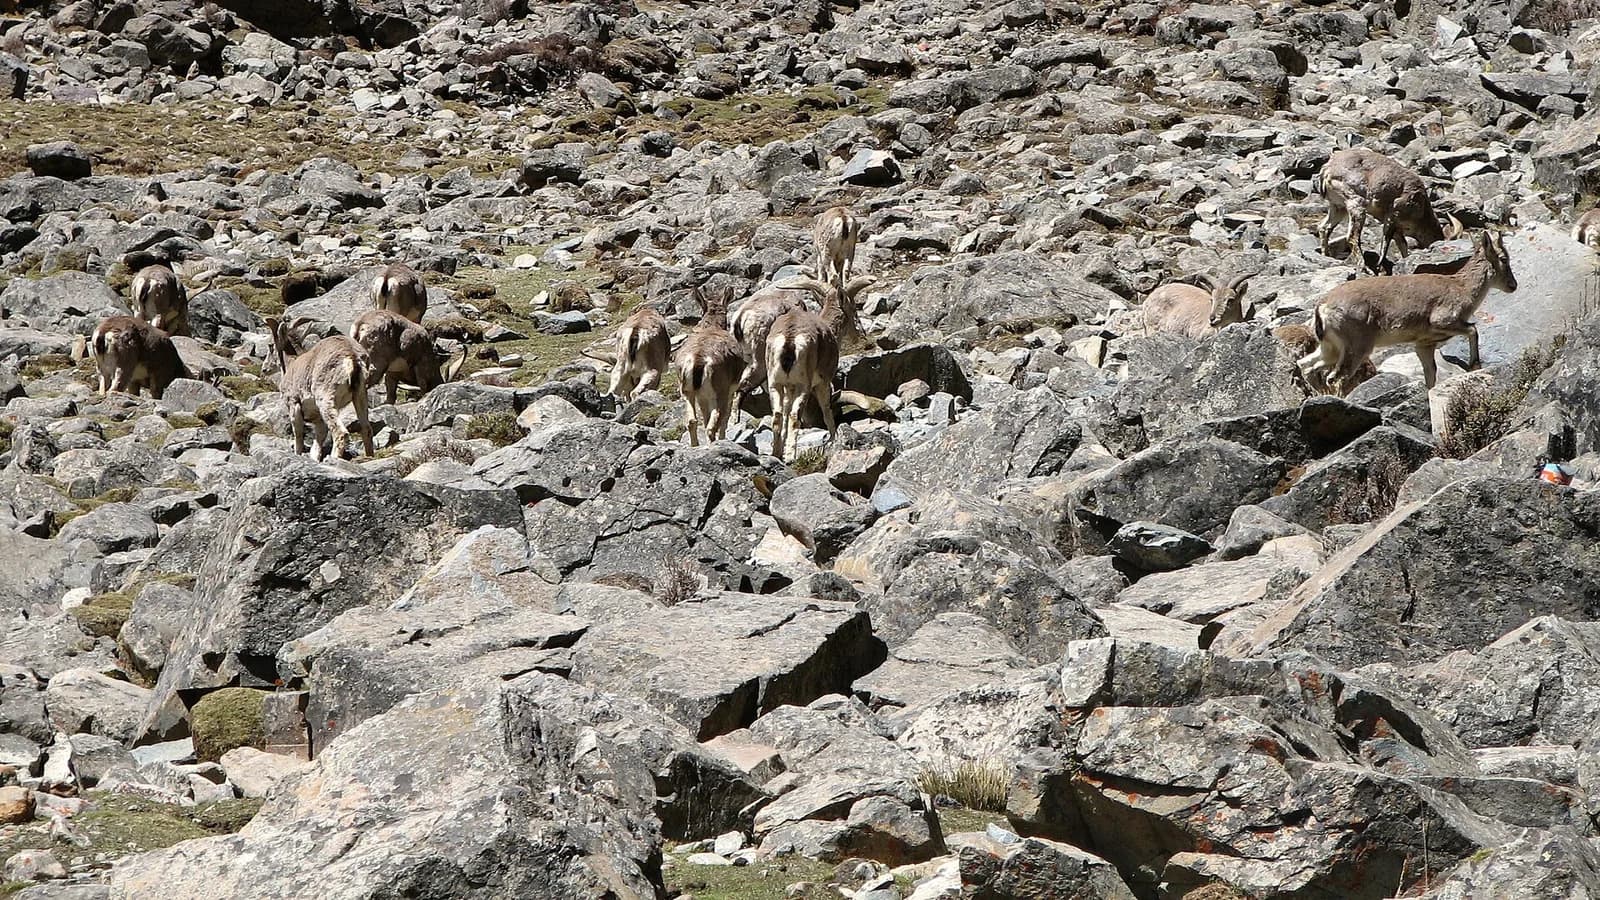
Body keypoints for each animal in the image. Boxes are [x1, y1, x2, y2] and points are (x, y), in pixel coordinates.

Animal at [266, 317, 375, 460]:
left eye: (271, 346)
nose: (264, 369)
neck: (291, 364)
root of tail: (353, 357)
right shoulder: (318, 417)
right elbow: (318, 440)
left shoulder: (294, 404)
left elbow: (298, 436)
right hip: (360, 395)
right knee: (366, 429)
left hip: (325, 398)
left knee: (340, 433)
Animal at [672, 287, 746, 446]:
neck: (712, 326)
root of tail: (698, 360)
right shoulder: (730, 389)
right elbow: (726, 416)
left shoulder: (702, 396)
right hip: (718, 392)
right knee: (714, 424)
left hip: (688, 391)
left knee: (692, 421)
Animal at [764, 275, 874, 461]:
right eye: (853, 308)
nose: (860, 336)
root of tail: (789, 339)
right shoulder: (823, 382)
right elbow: (826, 410)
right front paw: (833, 438)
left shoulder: (788, 387)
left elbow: (785, 411)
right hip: (803, 386)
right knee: (795, 416)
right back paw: (790, 456)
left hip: (775, 383)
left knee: (778, 416)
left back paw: (776, 454)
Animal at [1301, 229, 1517, 394]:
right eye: (1503, 258)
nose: (1513, 285)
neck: (1462, 288)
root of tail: (1322, 307)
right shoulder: (1443, 320)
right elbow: (1473, 329)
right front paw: (1474, 364)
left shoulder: (1424, 344)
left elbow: (1431, 374)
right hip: (1356, 347)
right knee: (1336, 377)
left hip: (1331, 348)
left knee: (1307, 365)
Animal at [1316, 147, 1447, 273]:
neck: (1421, 208)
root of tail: (1327, 169)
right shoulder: (1392, 215)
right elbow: (1386, 243)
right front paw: (1379, 265)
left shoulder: (1397, 228)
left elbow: (1402, 244)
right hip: (1356, 204)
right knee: (1352, 237)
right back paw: (1365, 268)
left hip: (1338, 206)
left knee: (1324, 227)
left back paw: (1326, 255)